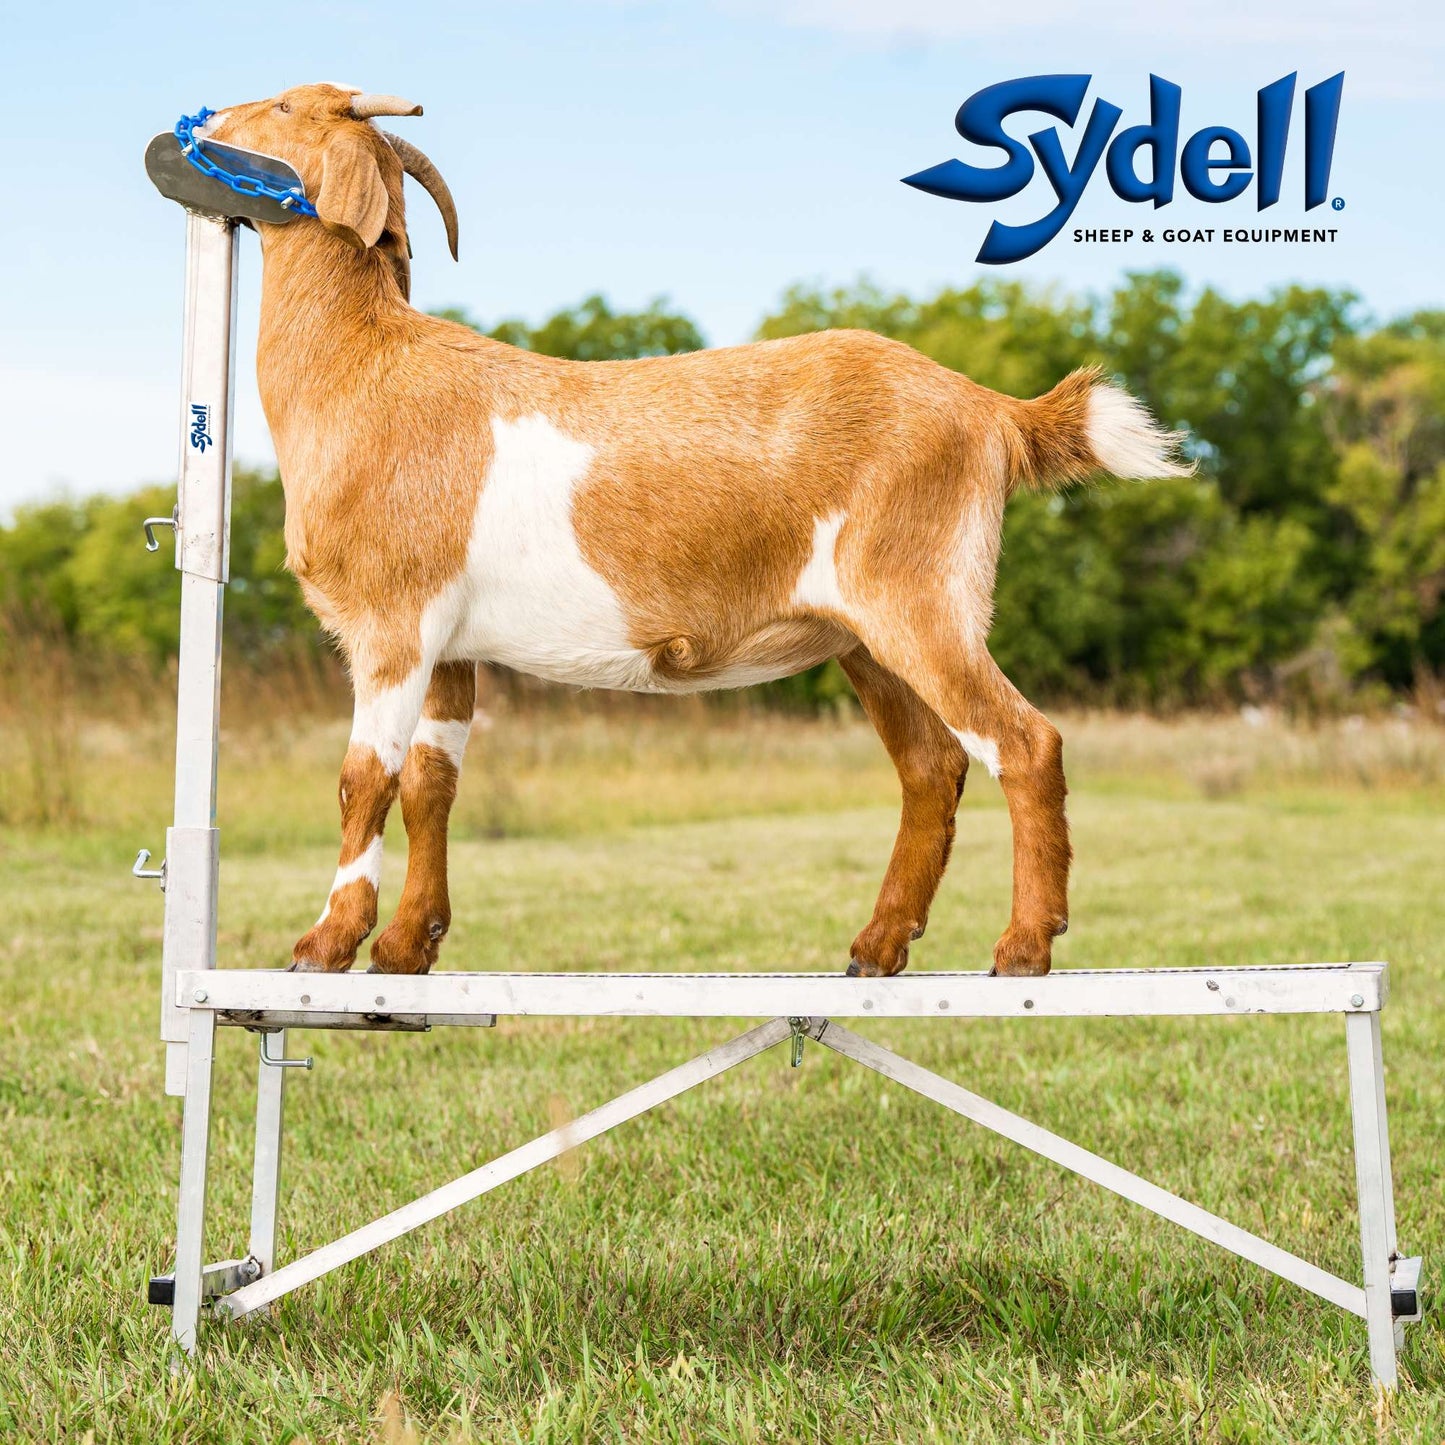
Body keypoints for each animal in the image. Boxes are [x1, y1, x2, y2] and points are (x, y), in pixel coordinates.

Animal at [201, 83, 1191, 981]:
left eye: (285, 107)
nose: (206, 118)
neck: (364, 368)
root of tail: (990, 409)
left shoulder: (392, 622)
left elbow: (363, 779)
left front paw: (325, 944)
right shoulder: (451, 643)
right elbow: (431, 785)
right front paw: (407, 949)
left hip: (921, 595)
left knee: (1021, 742)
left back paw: (1023, 948)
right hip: (865, 635)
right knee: (930, 763)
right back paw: (876, 948)